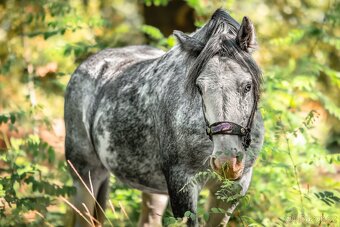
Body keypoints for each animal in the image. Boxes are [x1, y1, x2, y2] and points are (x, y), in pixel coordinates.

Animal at [64, 8, 266, 227]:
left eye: (247, 86)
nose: (226, 162)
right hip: (86, 178)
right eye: (199, 88)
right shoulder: (182, 185)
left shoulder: (232, 190)